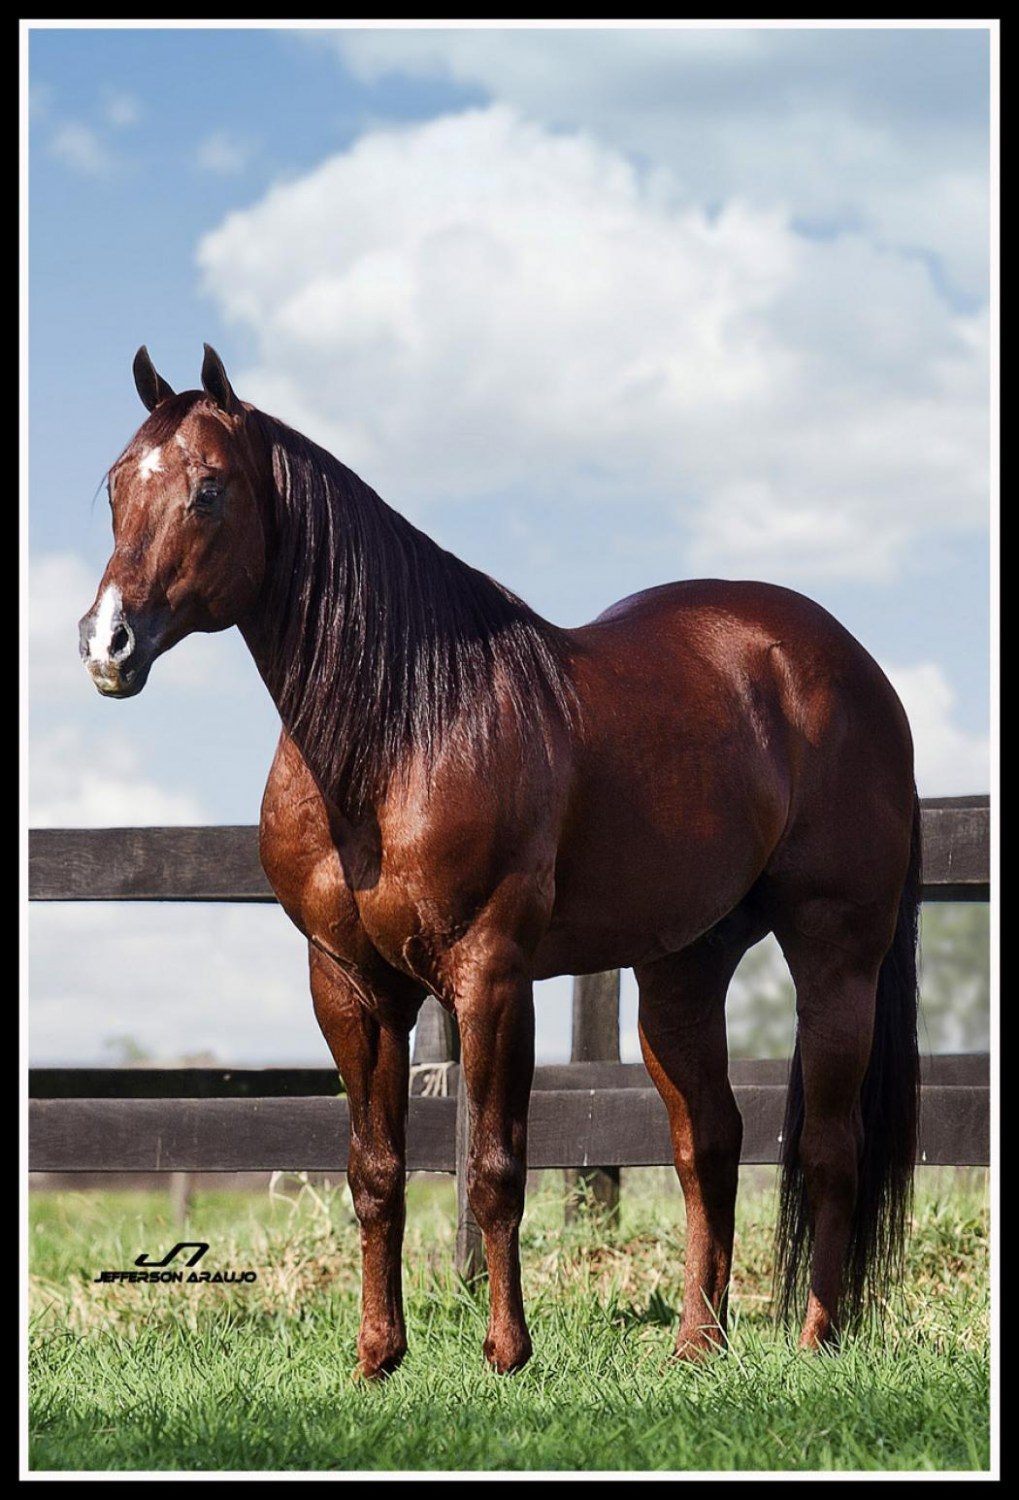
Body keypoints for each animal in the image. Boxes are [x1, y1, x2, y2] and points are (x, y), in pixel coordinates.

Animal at [79, 345, 924, 1374]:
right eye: (115, 484)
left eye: (208, 489)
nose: (106, 643)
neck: (405, 725)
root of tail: (842, 663)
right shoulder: (350, 984)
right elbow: (375, 1172)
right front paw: (377, 1358)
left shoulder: (488, 974)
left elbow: (491, 1167)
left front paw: (507, 1353)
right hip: (683, 967)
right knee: (708, 1144)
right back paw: (695, 1346)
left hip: (836, 951)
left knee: (831, 1146)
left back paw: (815, 1342)